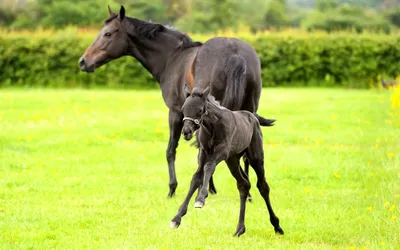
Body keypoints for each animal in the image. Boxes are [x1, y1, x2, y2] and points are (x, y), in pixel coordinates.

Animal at [79, 4, 276, 198]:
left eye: (108, 34)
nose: (83, 61)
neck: (172, 57)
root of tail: (235, 55)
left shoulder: (176, 112)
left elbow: (171, 149)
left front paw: (173, 188)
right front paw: (210, 188)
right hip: (249, 109)